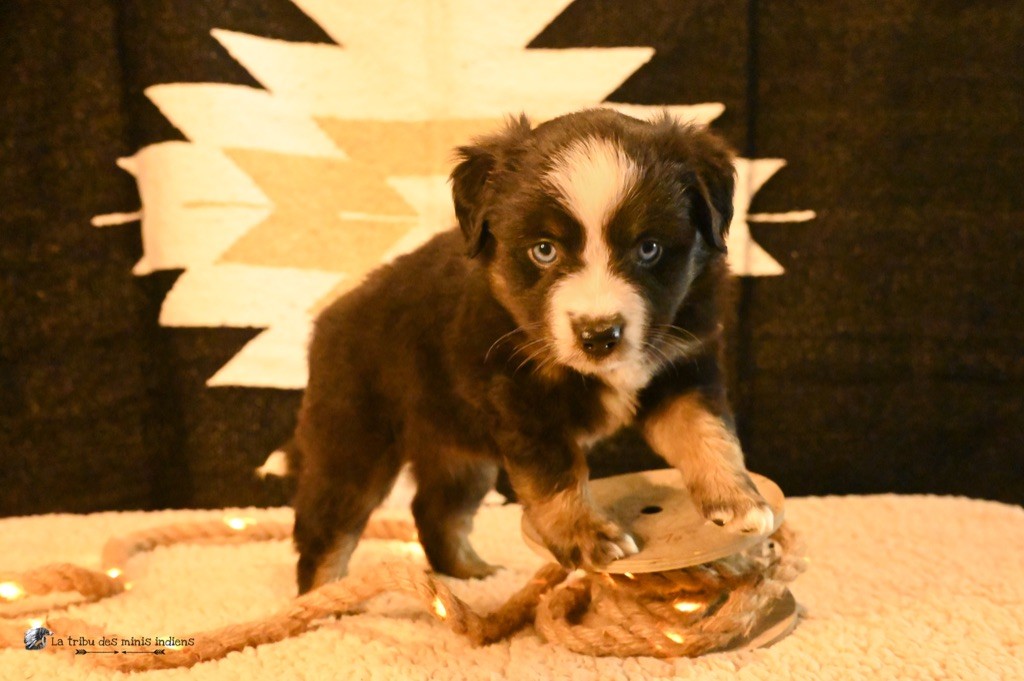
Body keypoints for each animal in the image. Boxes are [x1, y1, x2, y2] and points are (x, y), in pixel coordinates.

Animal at [289, 108, 773, 594]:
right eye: (544, 250)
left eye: (648, 248)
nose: (599, 335)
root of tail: (329, 321)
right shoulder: (519, 397)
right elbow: (555, 474)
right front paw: (589, 536)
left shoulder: (683, 367)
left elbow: (707, 432)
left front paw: (737, 501)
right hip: (352, 445)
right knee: (327, 531)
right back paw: (324, 599)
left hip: (459, 454)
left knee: (436, 511)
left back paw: (474, 575)